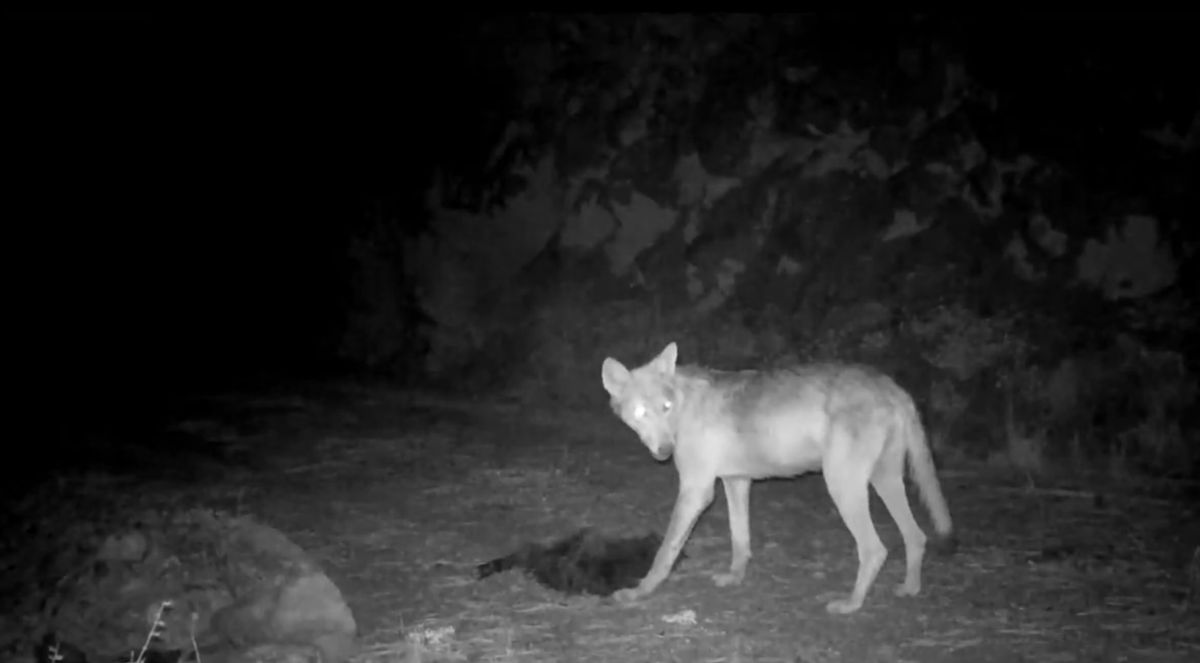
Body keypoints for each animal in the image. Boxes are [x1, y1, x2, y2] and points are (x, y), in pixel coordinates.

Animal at [600, 343, 955, 614]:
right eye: (641, 413)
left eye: (666, 407)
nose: (665, 450)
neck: (683, 409)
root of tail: (891, 385)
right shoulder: (736, 482)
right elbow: (740, 540)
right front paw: (735, 578)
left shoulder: (696, 491)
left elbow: (666, 551)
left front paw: (640, 592)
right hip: (885, 481)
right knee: (916, 536)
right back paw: (910, 589)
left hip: (843, 486)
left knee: (875, 549)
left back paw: (851, 604)